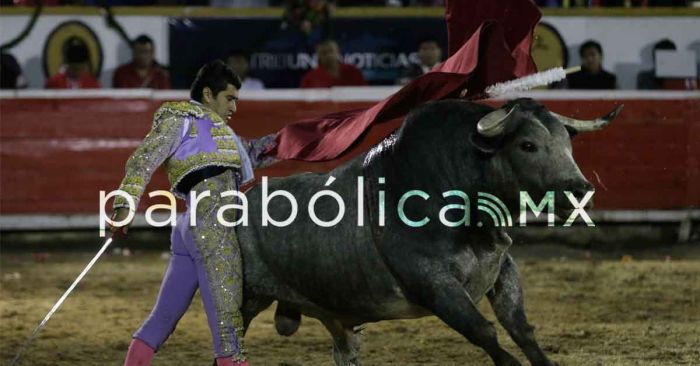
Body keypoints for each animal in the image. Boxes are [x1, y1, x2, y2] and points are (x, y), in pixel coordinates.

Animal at [237, 98, 624, 366]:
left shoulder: (502, 268)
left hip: (330, 313)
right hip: (245, 300)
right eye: (527, 145)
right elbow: (484, 331)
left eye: (568, 145)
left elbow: (520, 328)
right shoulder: (435, 284)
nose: (579, 190)